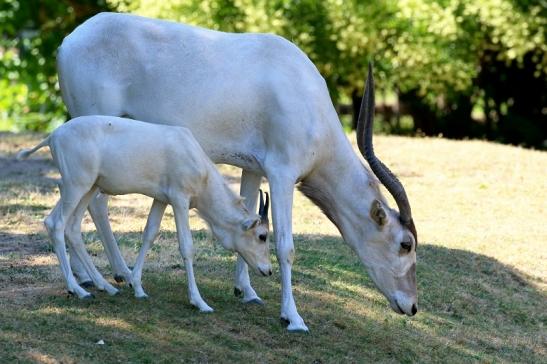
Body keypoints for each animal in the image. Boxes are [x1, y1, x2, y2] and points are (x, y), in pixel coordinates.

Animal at [18, 115, 272, 312]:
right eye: (262, 236)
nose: (268, 270)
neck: (192, 155)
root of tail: (53, 136)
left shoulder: (161, 199)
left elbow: (149, 233)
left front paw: (137, 287)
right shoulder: (179, 199)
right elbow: (186, 246)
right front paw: (200, 302)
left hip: (88, 188)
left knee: (72, 228)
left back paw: (106, 287)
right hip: (76, 185)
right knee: (56, 223)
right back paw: (78, 290)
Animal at [57, 12, 418, 332]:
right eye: (406, 244)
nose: (412, 306)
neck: (306, 97)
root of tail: (68, 42)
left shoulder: (252, 168)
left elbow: (250, 212)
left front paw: (246, 291)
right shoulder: (282, 172)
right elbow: (286, 246)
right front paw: (293, 318)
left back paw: (91, 277)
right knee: (94, 203)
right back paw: (107, 276)